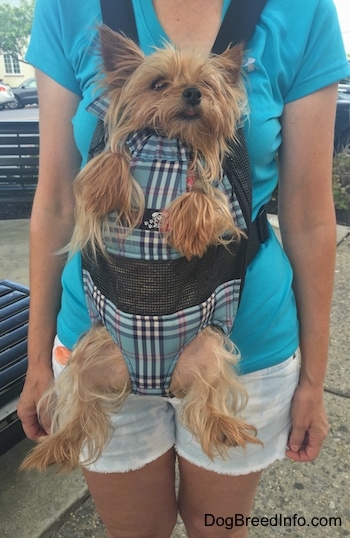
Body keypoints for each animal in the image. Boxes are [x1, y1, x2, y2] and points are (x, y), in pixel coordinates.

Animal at [21, 26, 262, 468]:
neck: (169, 142)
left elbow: (206, 198)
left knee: (208, 396)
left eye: (205, 85)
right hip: (87, 353)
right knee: (79, 404)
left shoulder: (213, 186)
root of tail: (149, 383)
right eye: (159, 84)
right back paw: (56, 445)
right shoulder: (127, 144)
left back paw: (224, 426)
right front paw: (103, 186)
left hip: (209, 350)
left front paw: (187, 227)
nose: (192, 94)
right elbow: (111, 158)